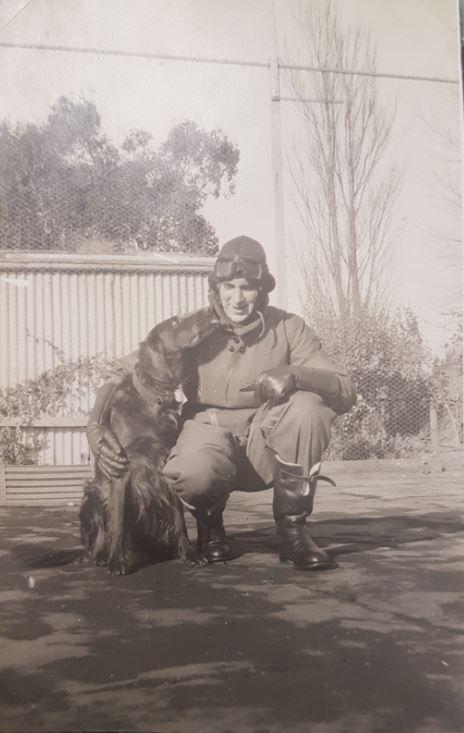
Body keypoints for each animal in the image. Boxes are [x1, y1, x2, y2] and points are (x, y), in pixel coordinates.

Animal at [80, 306, 219, 576]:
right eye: (175, 321)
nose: (209, 308)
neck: (155, 400)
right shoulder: (121, 469)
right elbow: (117, 522)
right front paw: (117, 561)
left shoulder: (166, 464)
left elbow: (179, 519)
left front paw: (189, 554)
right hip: (92, 493)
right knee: (99, 532)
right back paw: (101, 556)